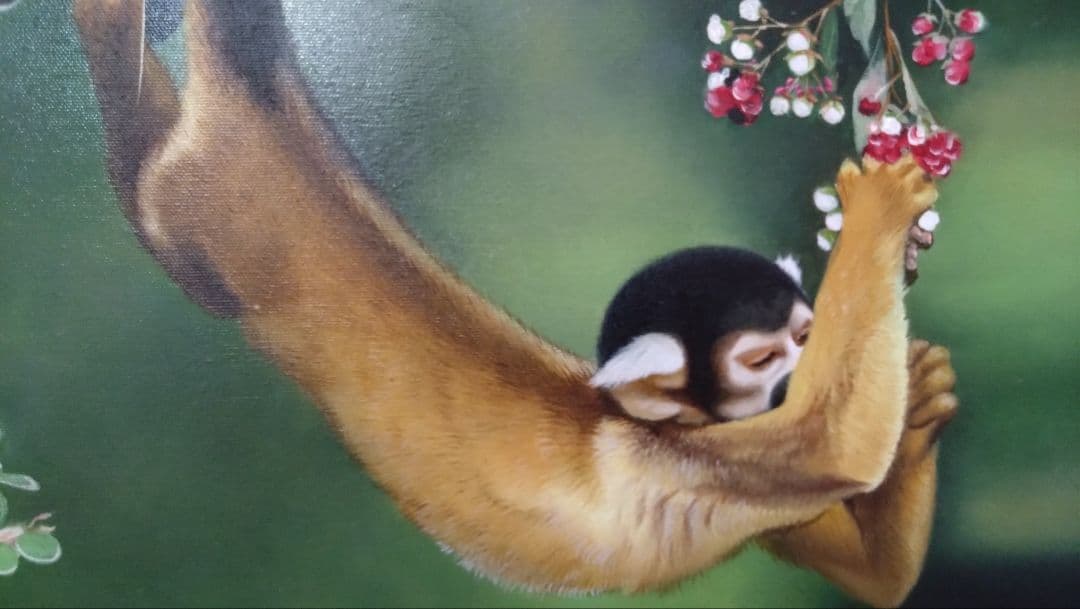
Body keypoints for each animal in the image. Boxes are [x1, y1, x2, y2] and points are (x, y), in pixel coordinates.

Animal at [72, 1, 958, 606]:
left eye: (807, 339)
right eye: (764, 358)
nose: (791, 379)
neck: (668, 424)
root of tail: (276, 120)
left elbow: (872, 577)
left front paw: (921, 408)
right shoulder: (679, 464)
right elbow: (832, 441)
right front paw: (880, 211)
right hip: (203, 215)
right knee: (150, 201)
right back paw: (109, 38)